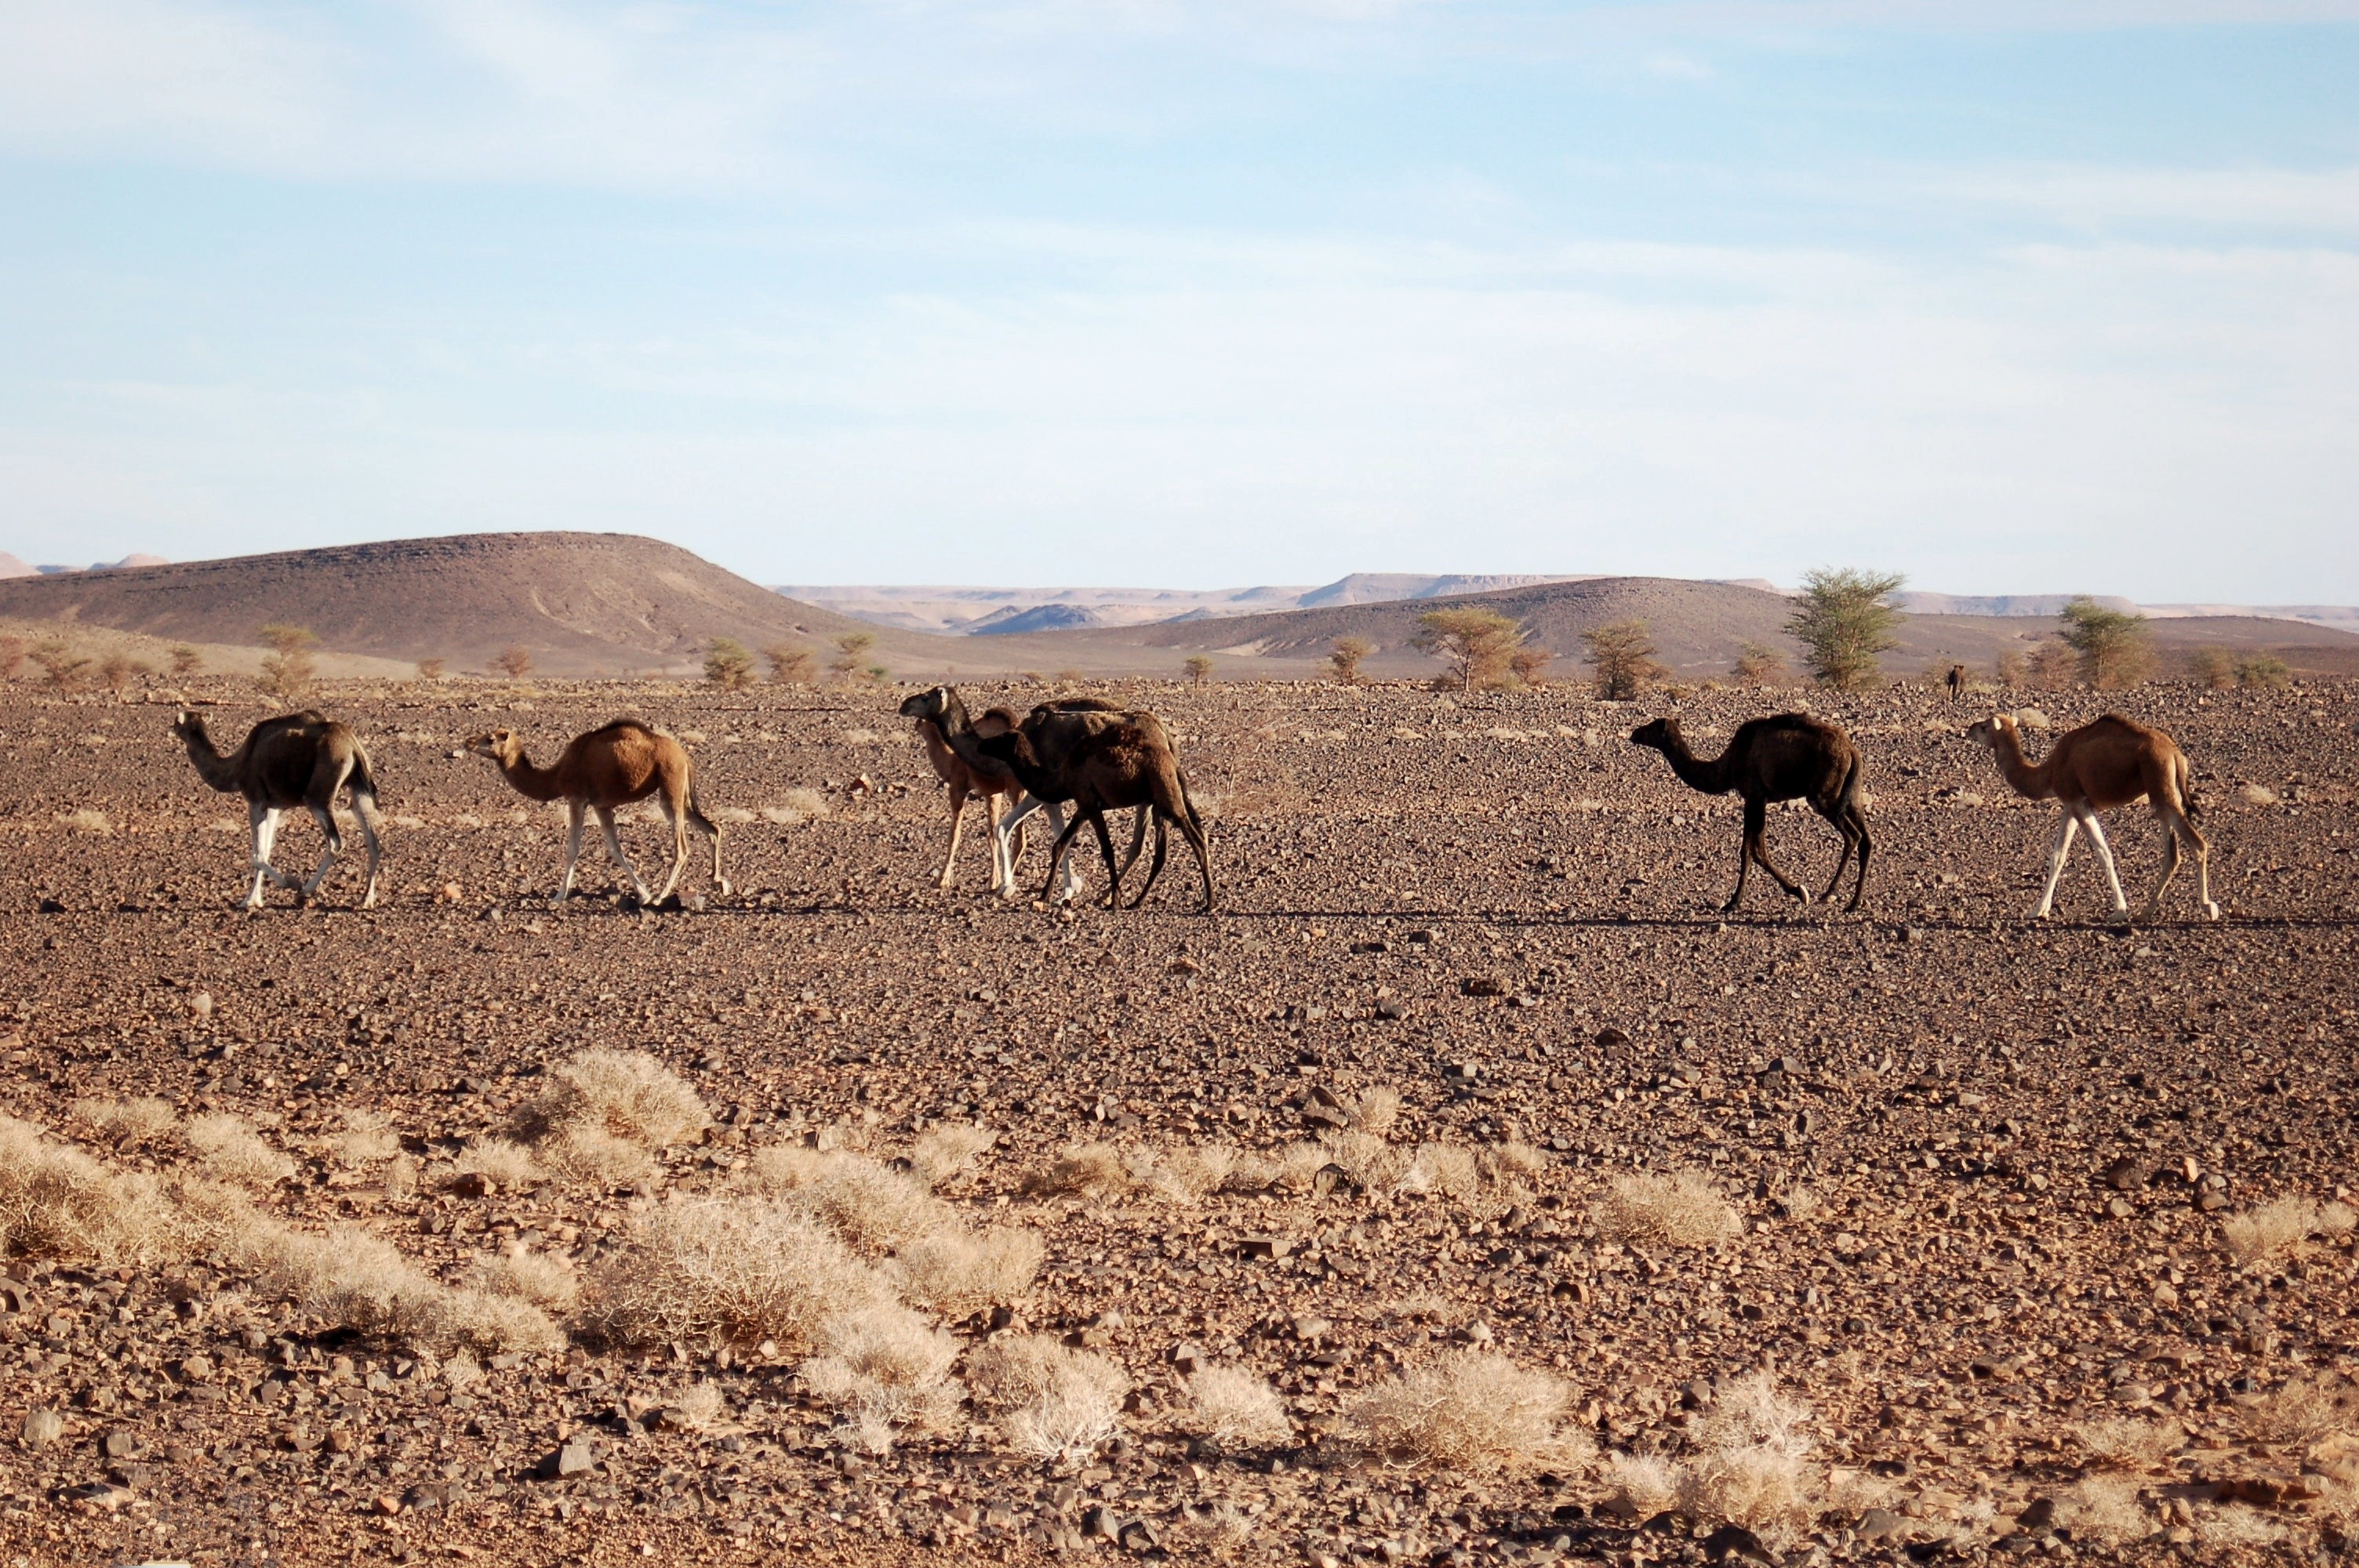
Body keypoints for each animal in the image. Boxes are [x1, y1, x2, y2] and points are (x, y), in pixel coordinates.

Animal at [176, 707, 387, 909]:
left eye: (177, 723)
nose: (172, 728)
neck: (236, 768)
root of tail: (354, 747)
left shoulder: (256, 800)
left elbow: (257, 854)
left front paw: (288, 883)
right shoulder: (274, 806)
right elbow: (266, 849)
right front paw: (253, 900)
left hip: (318, 795)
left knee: (335, 842)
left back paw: (304, 892)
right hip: (358, 788)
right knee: (373, 843)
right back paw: (365, 900)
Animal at [455, 717, 722, 905]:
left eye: (490, 738)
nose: (468, 742)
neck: (556, 775)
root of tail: (684, 755)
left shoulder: (576, 799)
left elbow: (572, 849)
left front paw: (558, 897)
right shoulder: (602, 805)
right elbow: (616, 850)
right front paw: (643, 893)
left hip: (670, 783)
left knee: (682, 847)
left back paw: (661, 896)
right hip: (680, 792)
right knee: (713, 828)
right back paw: (718, 881)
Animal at [972, 702, 1217, 909]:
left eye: (1002, 739)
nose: (982, 744)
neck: (1061, 775)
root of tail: (1172, 757)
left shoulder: (1089, 805)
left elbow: (1106, 849)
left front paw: (1112, 901)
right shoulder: (1082, 807)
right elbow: (1059, 844)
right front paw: (1045, 894)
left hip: (1166, 797)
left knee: (1192, 838)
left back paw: (1208, 902)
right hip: (1159, 799)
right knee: (1170, 845)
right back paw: (1141, 901)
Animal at [1632, 712, 1868, 909]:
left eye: (1652, 727)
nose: (1634, 733)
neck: (1726, 767)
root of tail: (1851, 751)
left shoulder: (1754, 797)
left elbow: (1752, 851)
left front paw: (1737, 901)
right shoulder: (1757, 800)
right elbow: (1754, 850)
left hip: (1823, 795)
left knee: (1853, 836)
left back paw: (1829, 893)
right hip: (1851, 794)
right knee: (1866, 839)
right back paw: (1853, 903)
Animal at [1962, 707, 2217, 919]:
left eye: (1985, 726)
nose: (1970, 729)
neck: (2048, 773)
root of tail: (2176, 754)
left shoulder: (2078, 802)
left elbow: (2103, 853)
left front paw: (2120, 910)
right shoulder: (2070, 805)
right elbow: (2058, 856)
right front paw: (2038, 910)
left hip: (2161, 787)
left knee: (2198, 844)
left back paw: (2208, 907)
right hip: (2163, 795)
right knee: (2172, 854)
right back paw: (2145, 911)